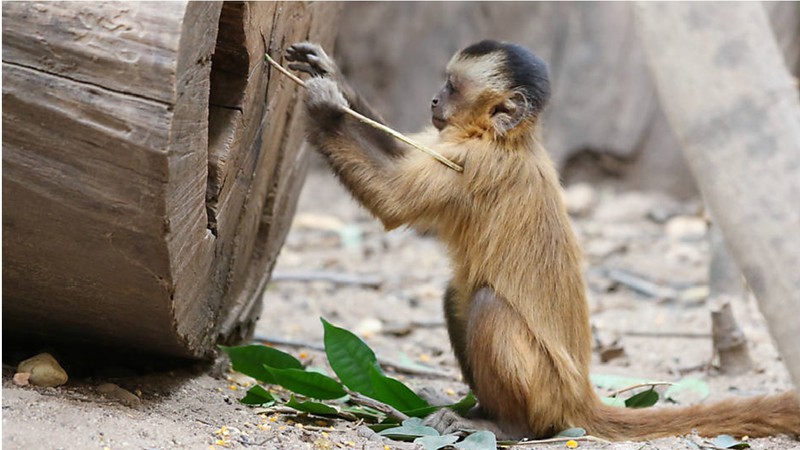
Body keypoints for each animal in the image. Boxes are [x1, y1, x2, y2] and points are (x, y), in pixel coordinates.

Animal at [285, 40, 800, 441]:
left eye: (452, 87)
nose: (432, 100)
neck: (507, 140)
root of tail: (581, 396)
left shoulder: (477, 163)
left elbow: (393, 203)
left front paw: (323, 109)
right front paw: (332, 74)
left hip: (545, 391)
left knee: (486, 304)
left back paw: (507, 426)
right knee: (456, 296)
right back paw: (479, 409)